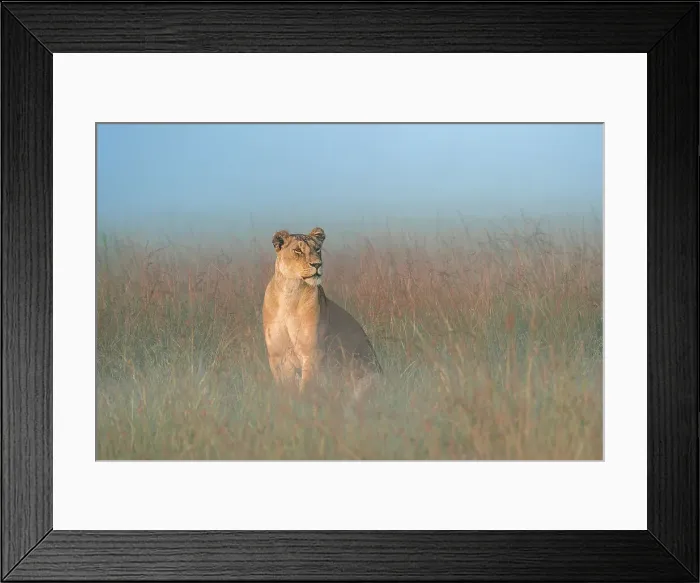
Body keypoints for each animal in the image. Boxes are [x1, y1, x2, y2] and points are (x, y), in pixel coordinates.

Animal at [262, 227, 382, 399]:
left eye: (317, 249)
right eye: (298, 250)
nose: (317, 264)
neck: (290, 291)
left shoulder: (312, 353)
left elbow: (306, 388)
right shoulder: (278, 356)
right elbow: (285, 389)